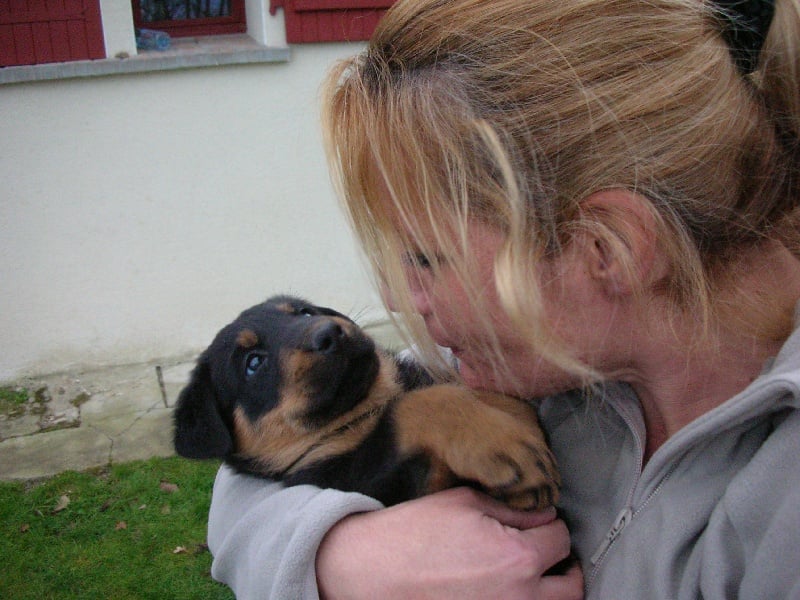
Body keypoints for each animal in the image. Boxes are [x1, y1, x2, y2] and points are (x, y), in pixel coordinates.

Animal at [173, 292, 564, 508]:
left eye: (304, 312)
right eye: (253, 363)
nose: (330, 333)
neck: (368, 405)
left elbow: (473, 387)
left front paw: (520, 424)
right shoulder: (372, 483)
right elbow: (420, 403)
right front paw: (499, 444)